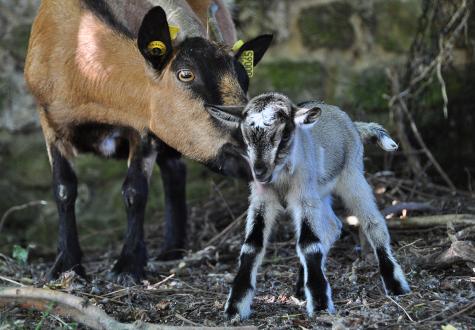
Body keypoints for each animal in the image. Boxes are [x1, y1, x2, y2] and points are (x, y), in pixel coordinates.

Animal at [25, 0, 272, 284]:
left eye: (244, 78)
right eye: (185, 74)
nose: (252, 152)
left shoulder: (145, 130)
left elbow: (135, 191)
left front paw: (128, 266)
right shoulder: (49, 122)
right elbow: (64, 189)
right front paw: (66, 265)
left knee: (174, 169)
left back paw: (171, 250)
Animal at [208, 93, 410, 320]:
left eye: (285, 135)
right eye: (246, 137)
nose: (260, 171)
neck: (281, 176)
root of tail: (352, 123)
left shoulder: (304, 195)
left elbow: (308, 243)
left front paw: (320, 303)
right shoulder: (262, 199)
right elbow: (252, 245)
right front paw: (235, 306)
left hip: (351, 175)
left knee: (372, 222)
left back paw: (395, 284)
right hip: (320, 194)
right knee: (332, 227)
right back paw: (301, 286)